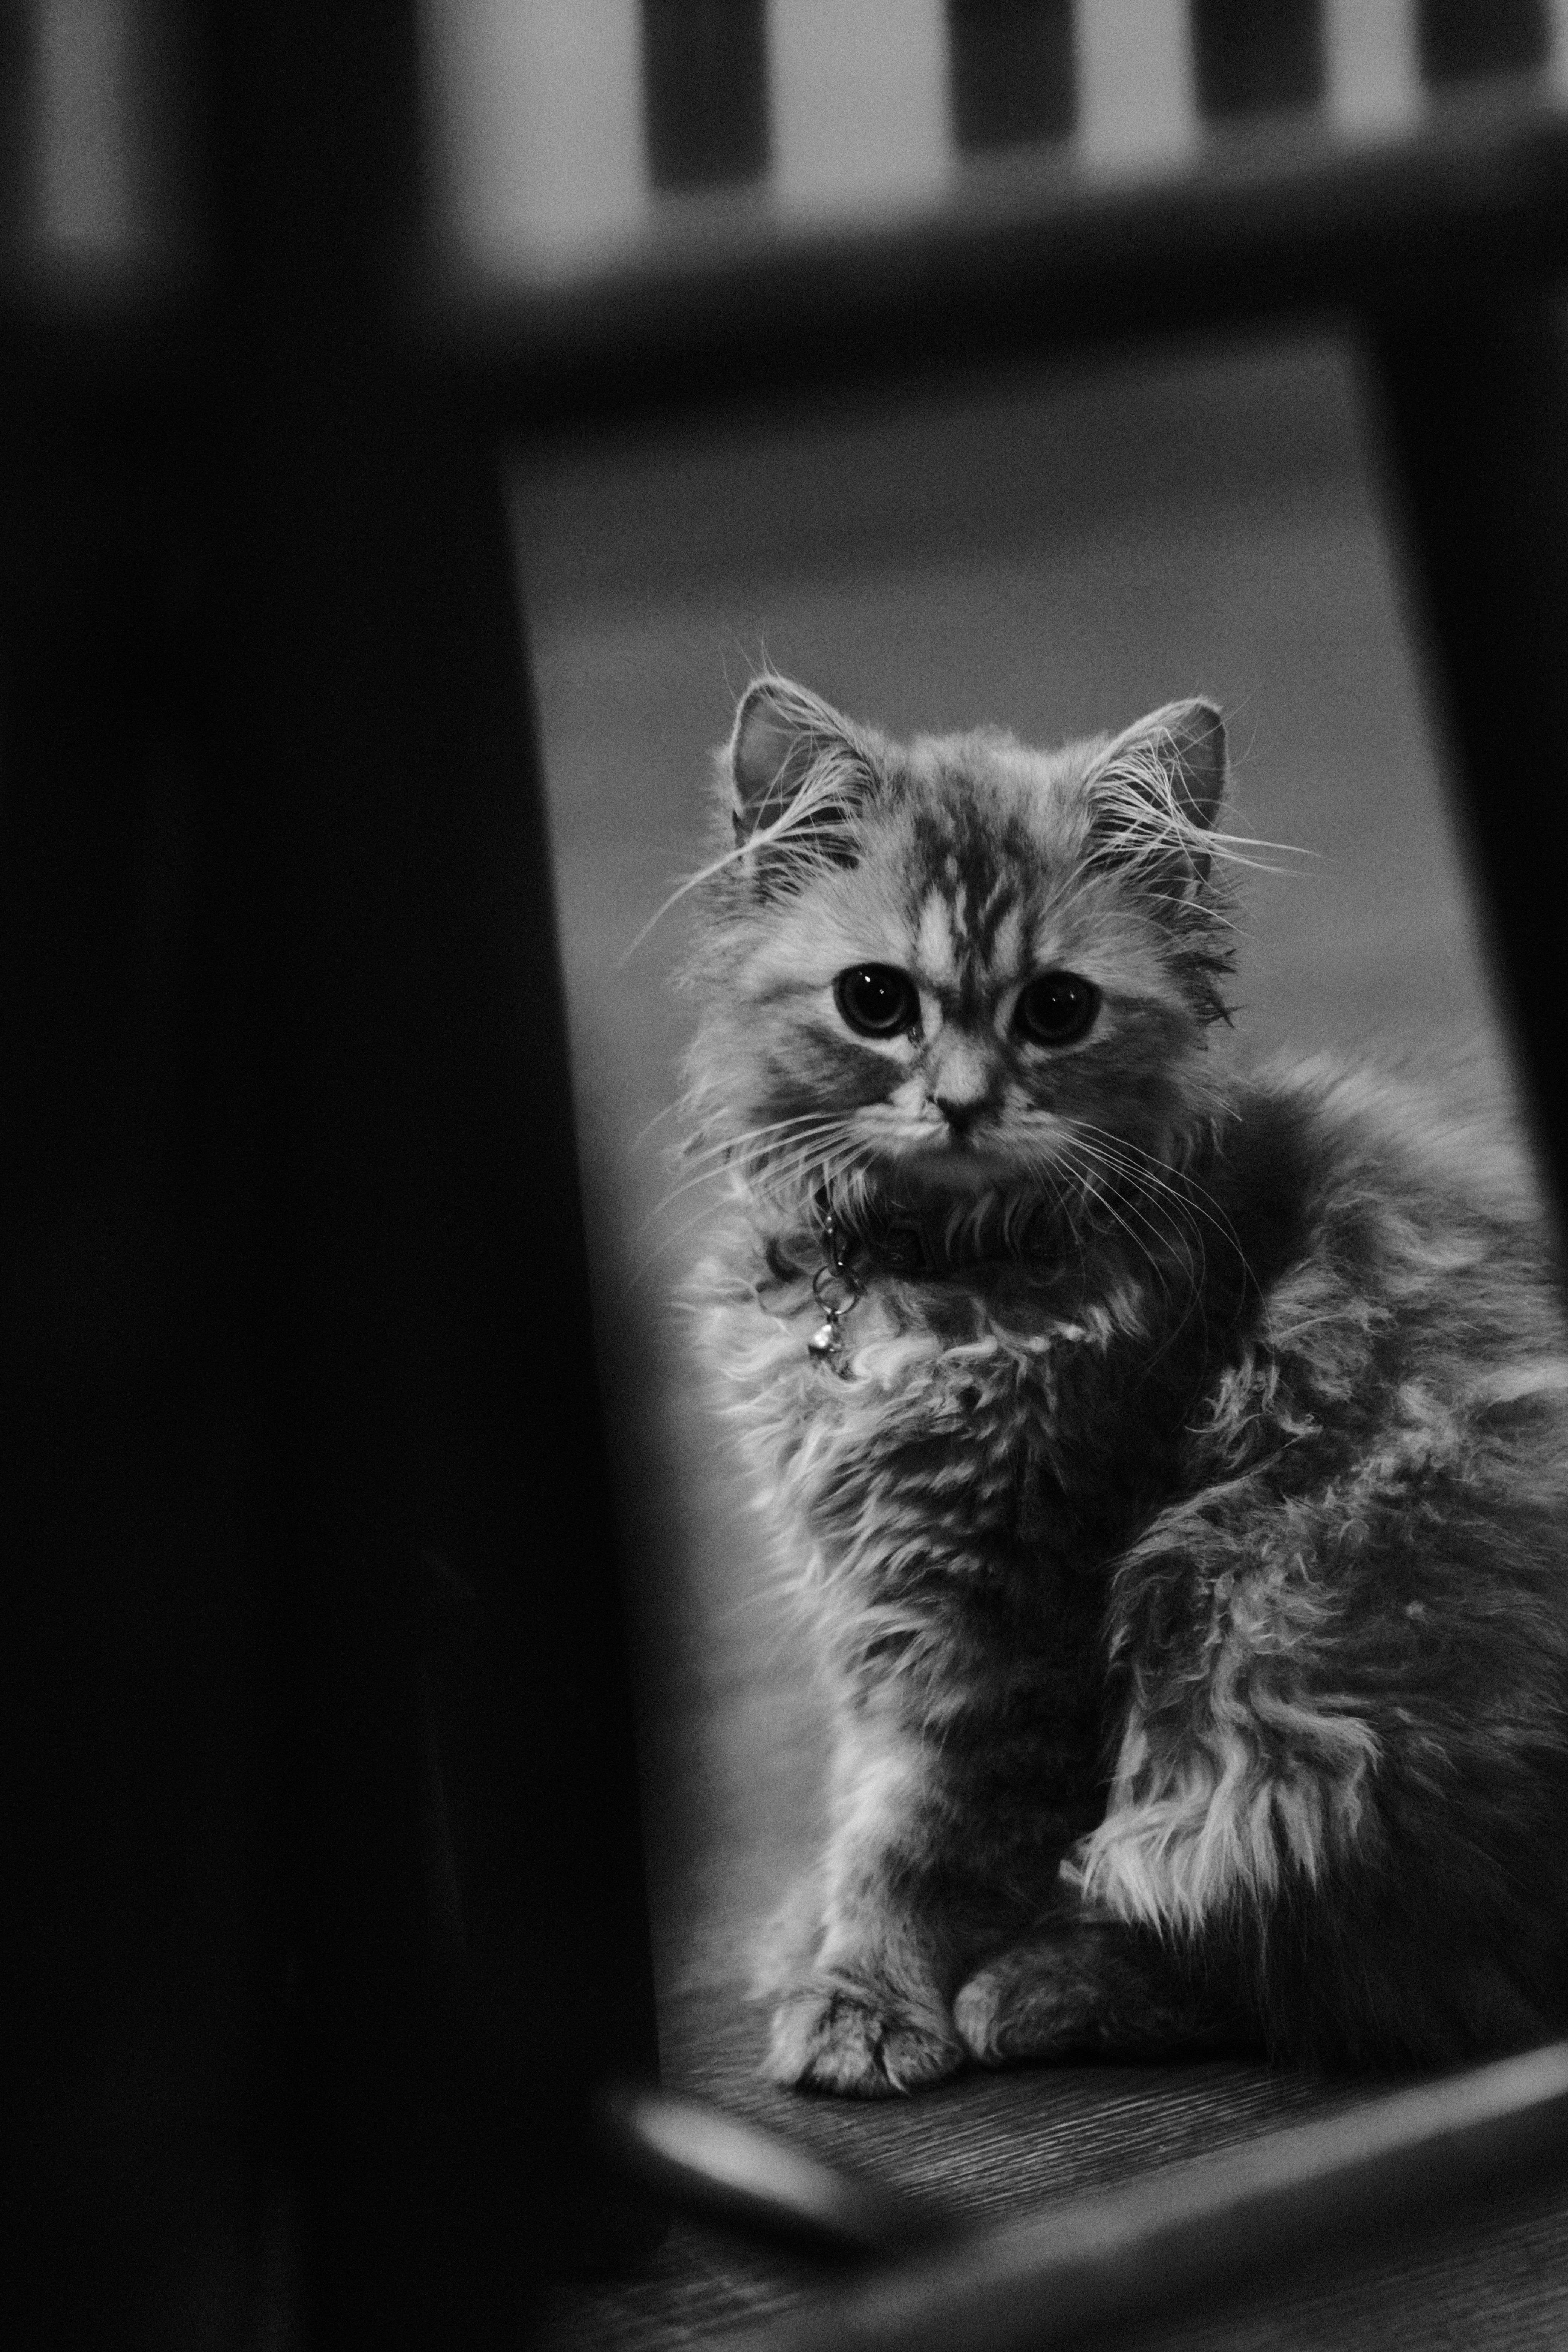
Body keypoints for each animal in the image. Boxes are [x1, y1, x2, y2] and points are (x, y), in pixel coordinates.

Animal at [677, 672, 1568, 2089]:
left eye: (1056, 1010)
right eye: (875, 1001)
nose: (963, 1104)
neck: (934, 1276)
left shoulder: (1006, 1616)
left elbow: (917, 1836)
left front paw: (864, 1999)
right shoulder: (880, 1598)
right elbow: (861, 1793)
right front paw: (817, 1938)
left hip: (1253, 1647)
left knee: (1320, 1954)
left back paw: (1039, 1988)